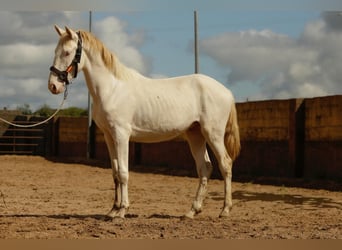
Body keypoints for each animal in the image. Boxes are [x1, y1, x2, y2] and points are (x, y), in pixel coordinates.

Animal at [48, 24, 240, 218]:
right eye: (55, 51)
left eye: (67, 52)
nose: (53, 86)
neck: (112, 89)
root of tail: (226, 91)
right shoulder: (109, 136)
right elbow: (115, 173)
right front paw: (113, 210)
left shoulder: (121, 135)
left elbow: (123, 172)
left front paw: (122, 211)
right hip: (195, 134)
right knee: (205, 168)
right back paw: (192, 211)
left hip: (213, 134)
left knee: (225, 164)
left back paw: (225, 210)